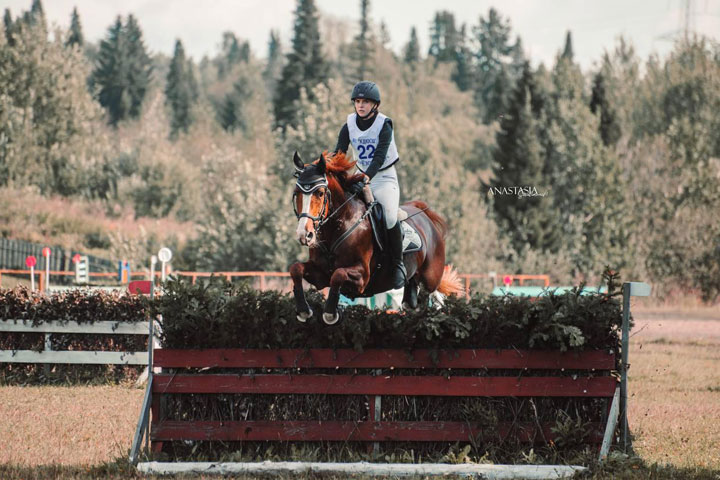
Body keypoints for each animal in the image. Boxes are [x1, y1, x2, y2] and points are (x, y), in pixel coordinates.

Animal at [290, 150, 464, 324]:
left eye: (320, 193)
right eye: (297, 194)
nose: (305, 235)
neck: (340, 224)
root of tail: (425, 217)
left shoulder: (362, 277)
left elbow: (338, 275)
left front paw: (330, 313)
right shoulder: (320, 274)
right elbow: (296, 269)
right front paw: (304, 311)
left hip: (429, 280)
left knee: (433, 300)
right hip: (412, 286)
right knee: (413, 304)